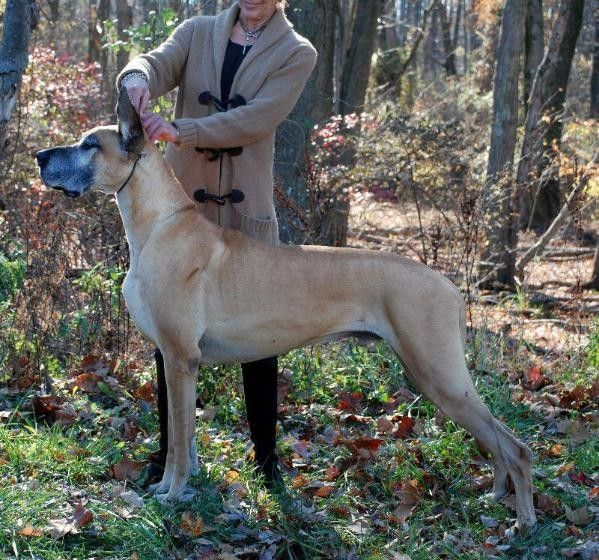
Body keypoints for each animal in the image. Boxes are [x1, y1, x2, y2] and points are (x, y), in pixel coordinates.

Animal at [35, 89, 537, 532]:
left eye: (88, 144)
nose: (40, 156)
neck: (160, 225)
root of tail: (450, 287)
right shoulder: (177, 363)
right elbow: (187, 439)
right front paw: (182, 485)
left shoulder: (180, 360)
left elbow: (178, 440)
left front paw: (171, 493)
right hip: (438, 377)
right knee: (496, 440)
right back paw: (495, 496)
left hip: (439, 374)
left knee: (516, 447)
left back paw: (523, 522)